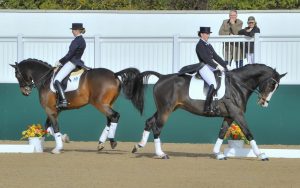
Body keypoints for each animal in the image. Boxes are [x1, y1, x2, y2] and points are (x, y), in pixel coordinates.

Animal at [10, 58, 144, 153]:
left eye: (17, 75)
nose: (25, 92)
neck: (45, 79)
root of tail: (114, 74)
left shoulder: (50, 110)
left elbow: (54, 127)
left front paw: (57, 148)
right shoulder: (55, 110)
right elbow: (47, 127)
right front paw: (63, 138)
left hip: (100, 104)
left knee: (115, 116)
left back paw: (112, 142)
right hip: (107, 103)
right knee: (110, 119)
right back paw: (101, 143)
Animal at [131, 64, 286, 160]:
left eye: (277, 87)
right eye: (272, 84)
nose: (264, 103)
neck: (237, 85)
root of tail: (162, 76)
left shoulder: (229, 116)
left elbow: (222, 133)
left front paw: (218, 154)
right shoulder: (237, 114)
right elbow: (248, 132)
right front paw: (261, 155)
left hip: (166, 108)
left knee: (149, 122)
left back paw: (138, 146)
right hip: (166, 109)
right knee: (157, 127)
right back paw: (161, 154)